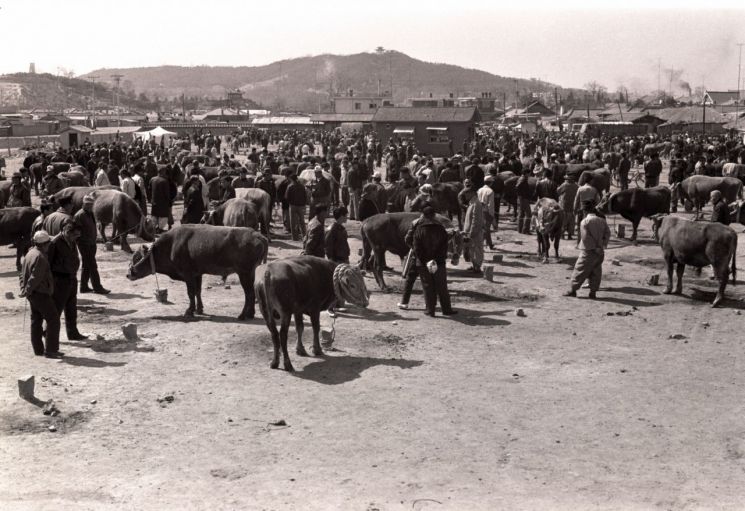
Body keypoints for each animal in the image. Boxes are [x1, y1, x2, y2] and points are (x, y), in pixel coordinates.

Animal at [126, 225, 268, 318]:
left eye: (137, 258)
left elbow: (190, 292)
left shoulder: (188, 274)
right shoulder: (197, 274)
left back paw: (243, 315)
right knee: (251, 293)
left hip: (244, 273)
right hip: (250, 273)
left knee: (249, 294)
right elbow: (197, 291)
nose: (128, 274)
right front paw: (199, 309)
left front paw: (189, 311)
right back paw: (250, 314)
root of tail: (257, 235)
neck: (171, 245)